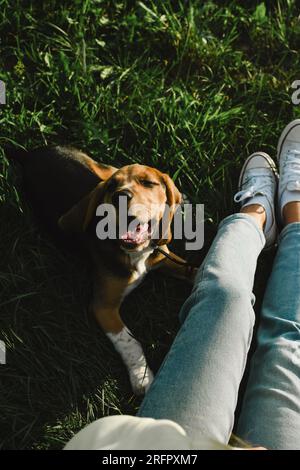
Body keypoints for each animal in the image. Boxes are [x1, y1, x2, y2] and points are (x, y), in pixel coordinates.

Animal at [8, 145, 196, 394]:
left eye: (148, 183)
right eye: (111, 188)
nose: (120, 196)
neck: (136, 253)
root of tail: (30, 153)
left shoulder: (163, 257)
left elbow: (196, 270)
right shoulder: (103, 306)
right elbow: (129, 341)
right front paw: (141, 377)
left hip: (103, 167)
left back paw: (182, 198)